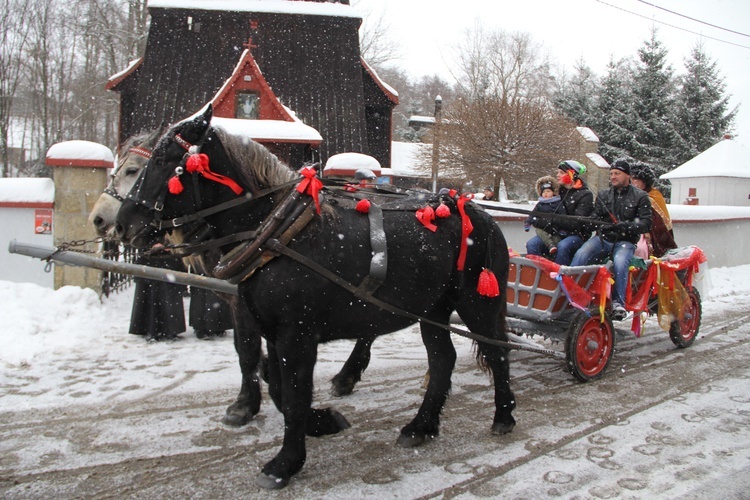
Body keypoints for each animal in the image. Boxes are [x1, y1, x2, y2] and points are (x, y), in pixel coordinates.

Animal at [117, 106, 516, 488]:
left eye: (161, 160)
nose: (122, 223)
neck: (278, 233)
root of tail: (475, 210)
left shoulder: (297, 335)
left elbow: (293, 394)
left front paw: (285, 464)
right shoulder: (273, 332)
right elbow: (277, 386)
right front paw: (322, 422)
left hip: (478, 304)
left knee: (497, 352)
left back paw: (504, 414)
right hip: (433, 309)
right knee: (443, 360)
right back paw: (422, 425)